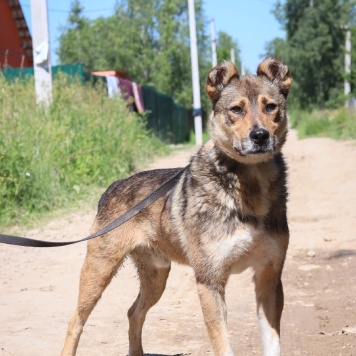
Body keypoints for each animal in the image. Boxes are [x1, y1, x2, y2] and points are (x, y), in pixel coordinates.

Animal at [61, 57, 294, 354]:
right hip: (98, 271)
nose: (260, 136)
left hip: (156, 277)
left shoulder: (269, 278)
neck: (248, 185)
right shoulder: (209, 282)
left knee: (133, 312)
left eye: (271, 106)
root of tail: (113, 186)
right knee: (75, 321)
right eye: (236, 109)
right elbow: (223, 345)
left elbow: (273, 344)